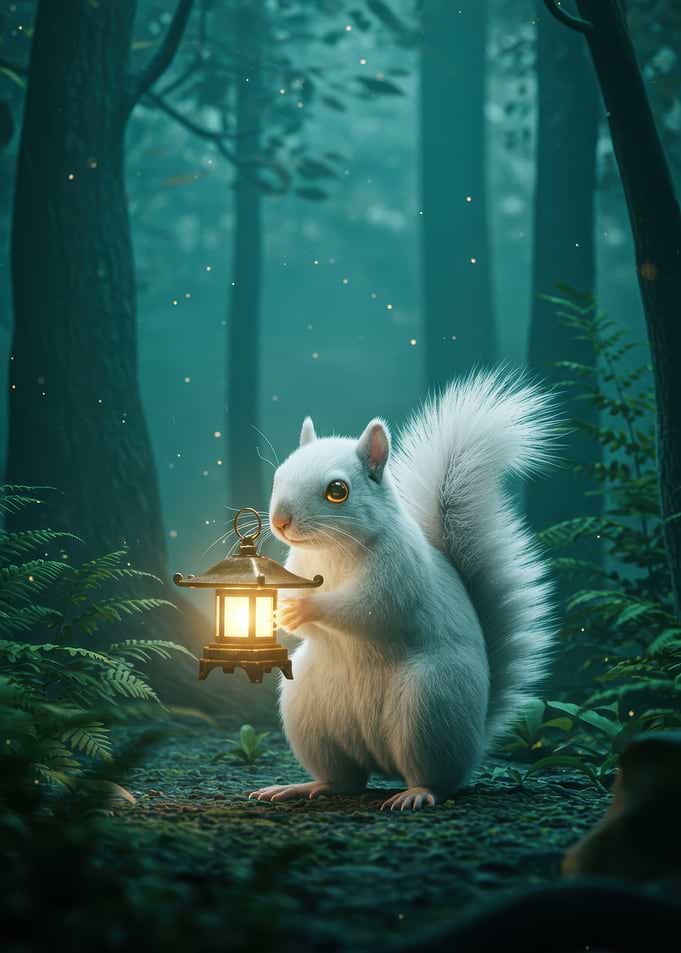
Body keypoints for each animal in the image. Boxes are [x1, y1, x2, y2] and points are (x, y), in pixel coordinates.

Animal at [250, 371, 557, 810]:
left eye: (337, 490)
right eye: (278, 476)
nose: (280, 521)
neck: (331, 552)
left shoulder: (397, 574)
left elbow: (366, 610)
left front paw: (304, 607)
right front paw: (276, 608)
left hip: (428, 707)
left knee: (438, 779)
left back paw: (416, 794)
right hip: (308, 711)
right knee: (346, 780)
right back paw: (307, 786)